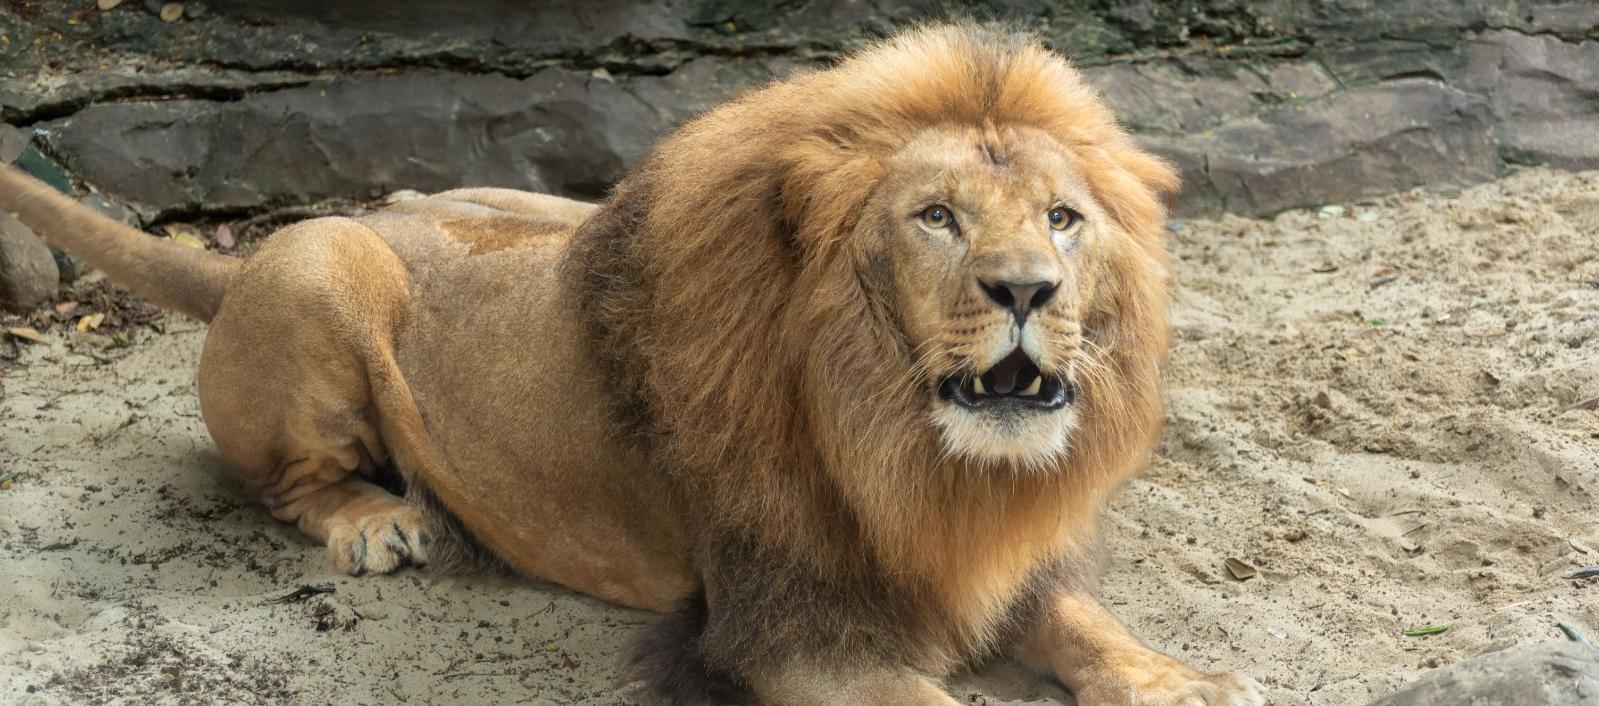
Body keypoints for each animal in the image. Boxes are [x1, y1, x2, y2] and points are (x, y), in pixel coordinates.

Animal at [0, 24, 1265, 706]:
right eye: (938, 217)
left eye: (1063, 219)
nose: (1027, 293)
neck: (905, 447)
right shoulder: (787, 629)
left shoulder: (1001, 561)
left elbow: (1088, 625)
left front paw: (1186, 678)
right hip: (324, 267)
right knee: (286, 481)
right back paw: (384, 521)